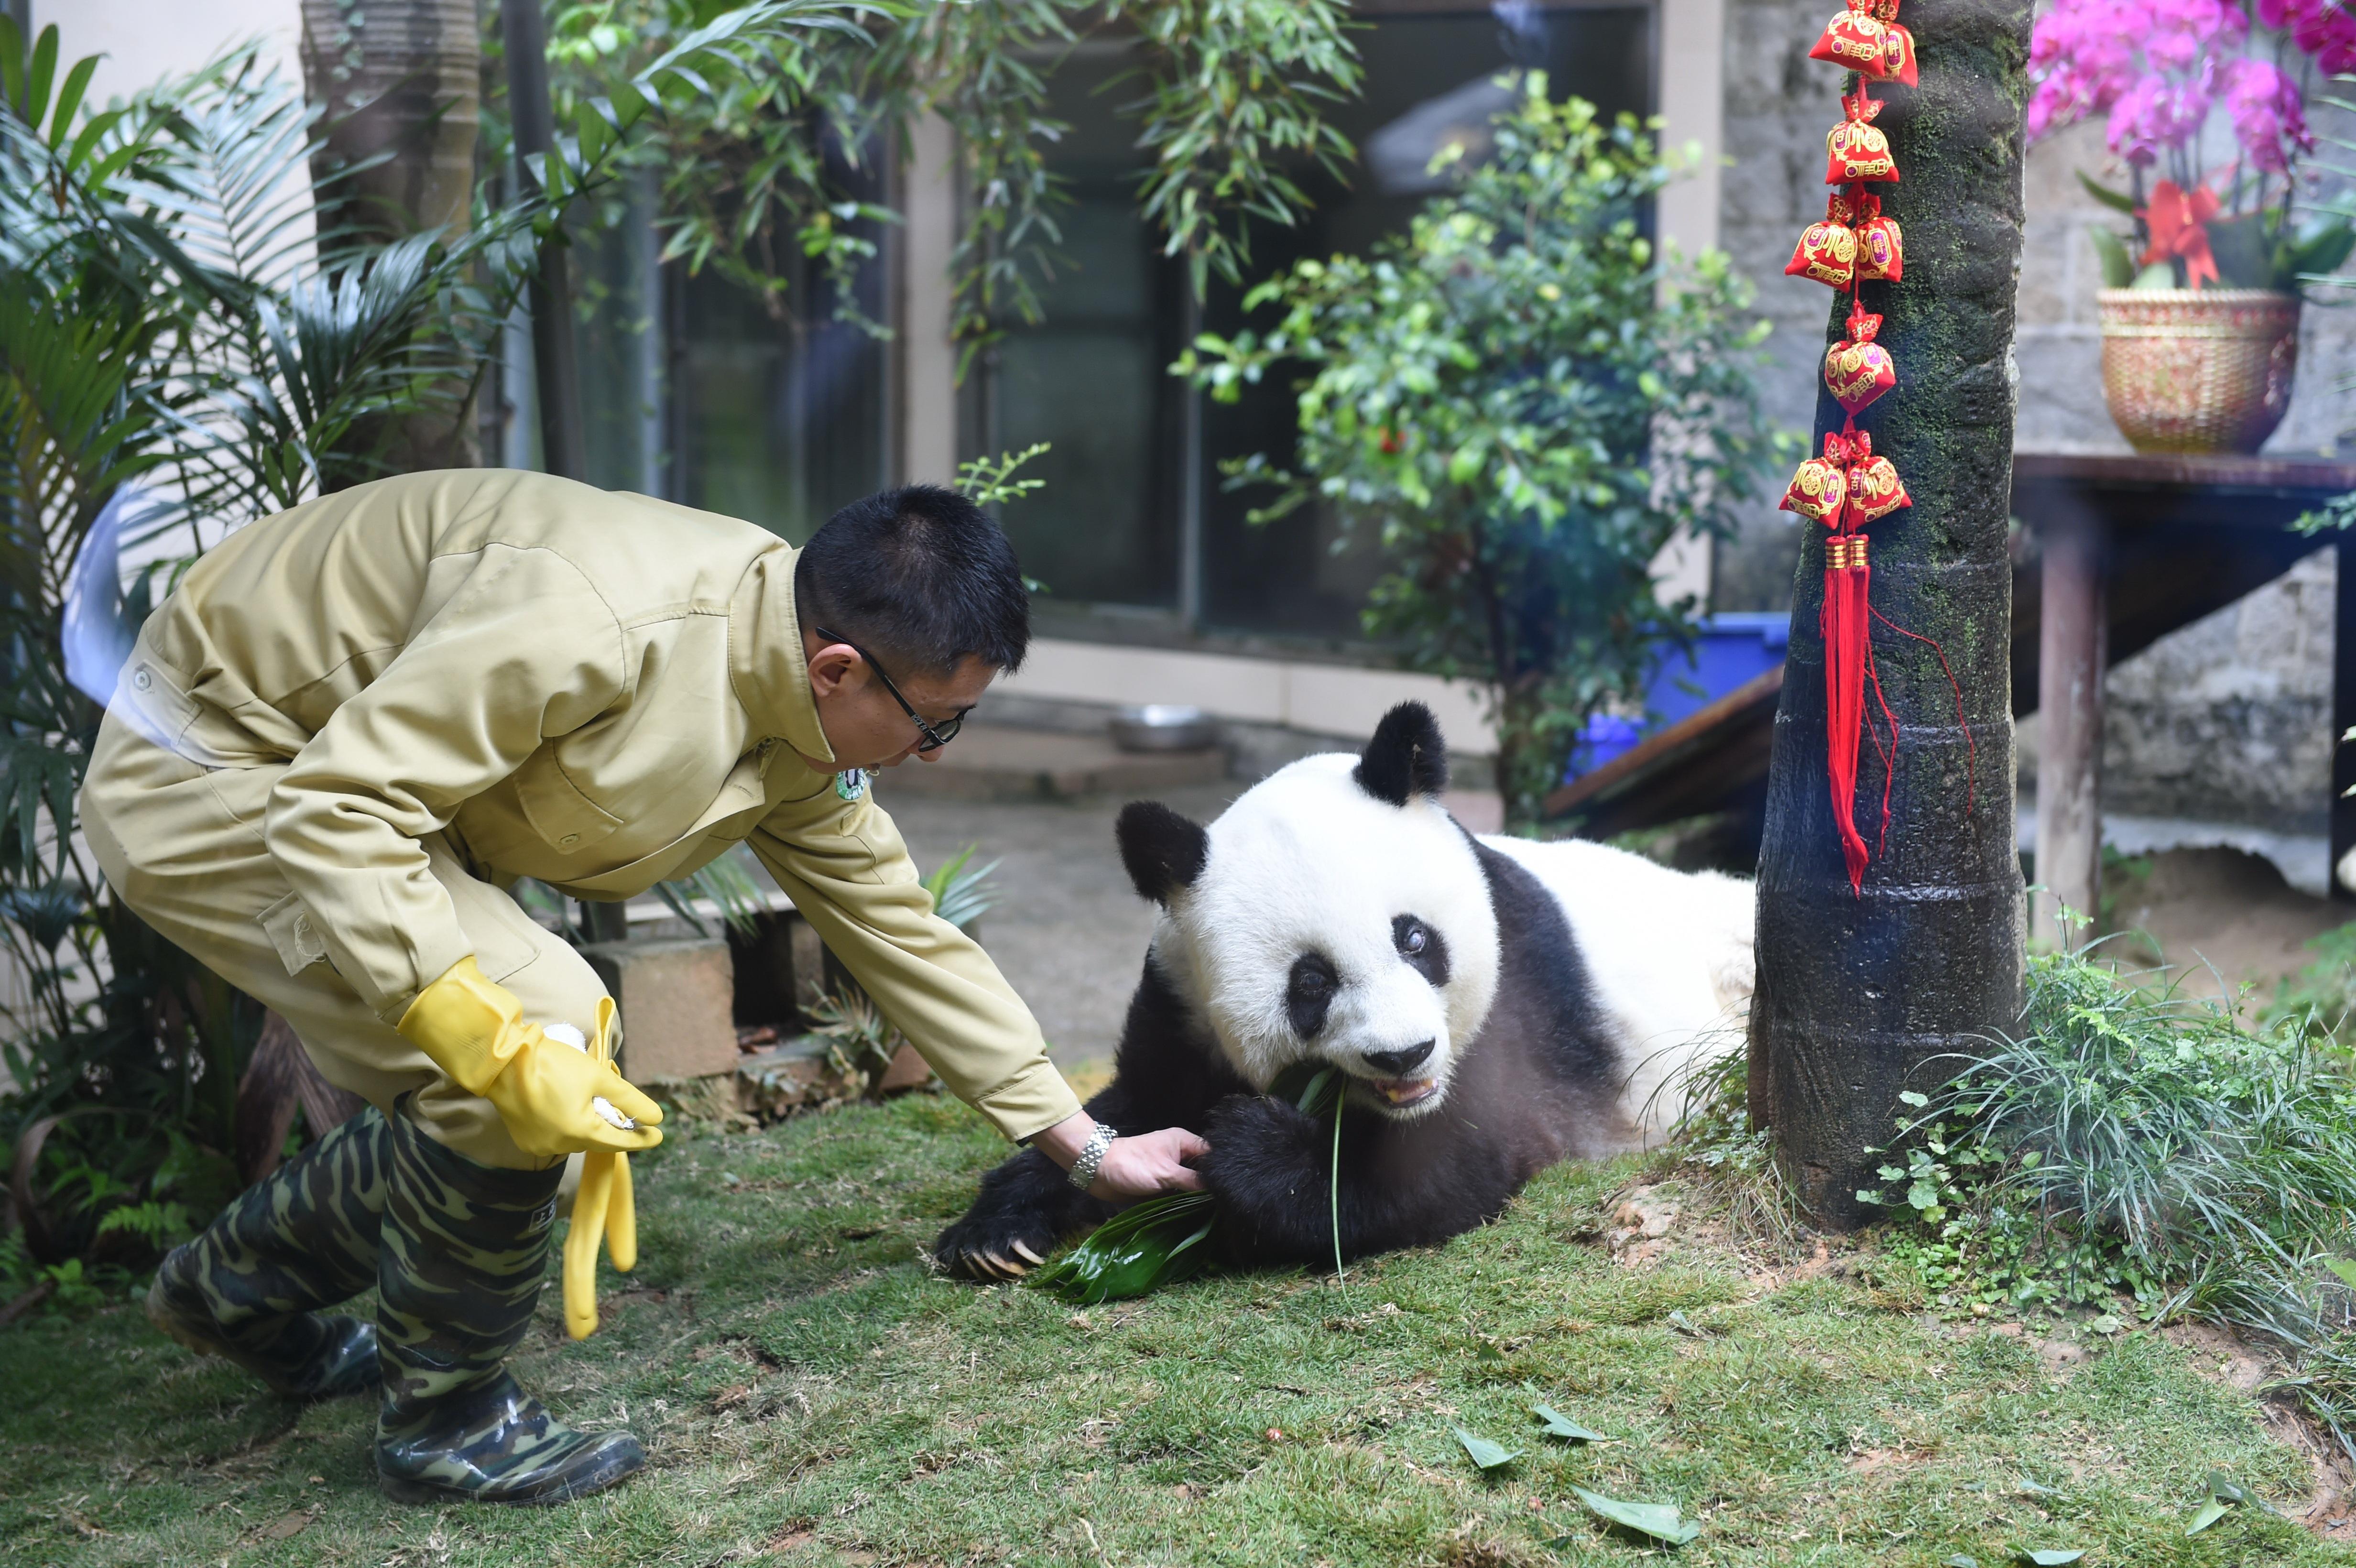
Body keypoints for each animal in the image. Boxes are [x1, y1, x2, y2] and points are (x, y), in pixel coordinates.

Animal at [933, 697, 1753, 1271]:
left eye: (1415, 939)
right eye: (1311, 983)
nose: (1406, 1055)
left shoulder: (1510, 997)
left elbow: (1446, 1167)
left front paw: (1250, 1155)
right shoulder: (1178, 994)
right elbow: (1131, 1107)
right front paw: (994, 1233)